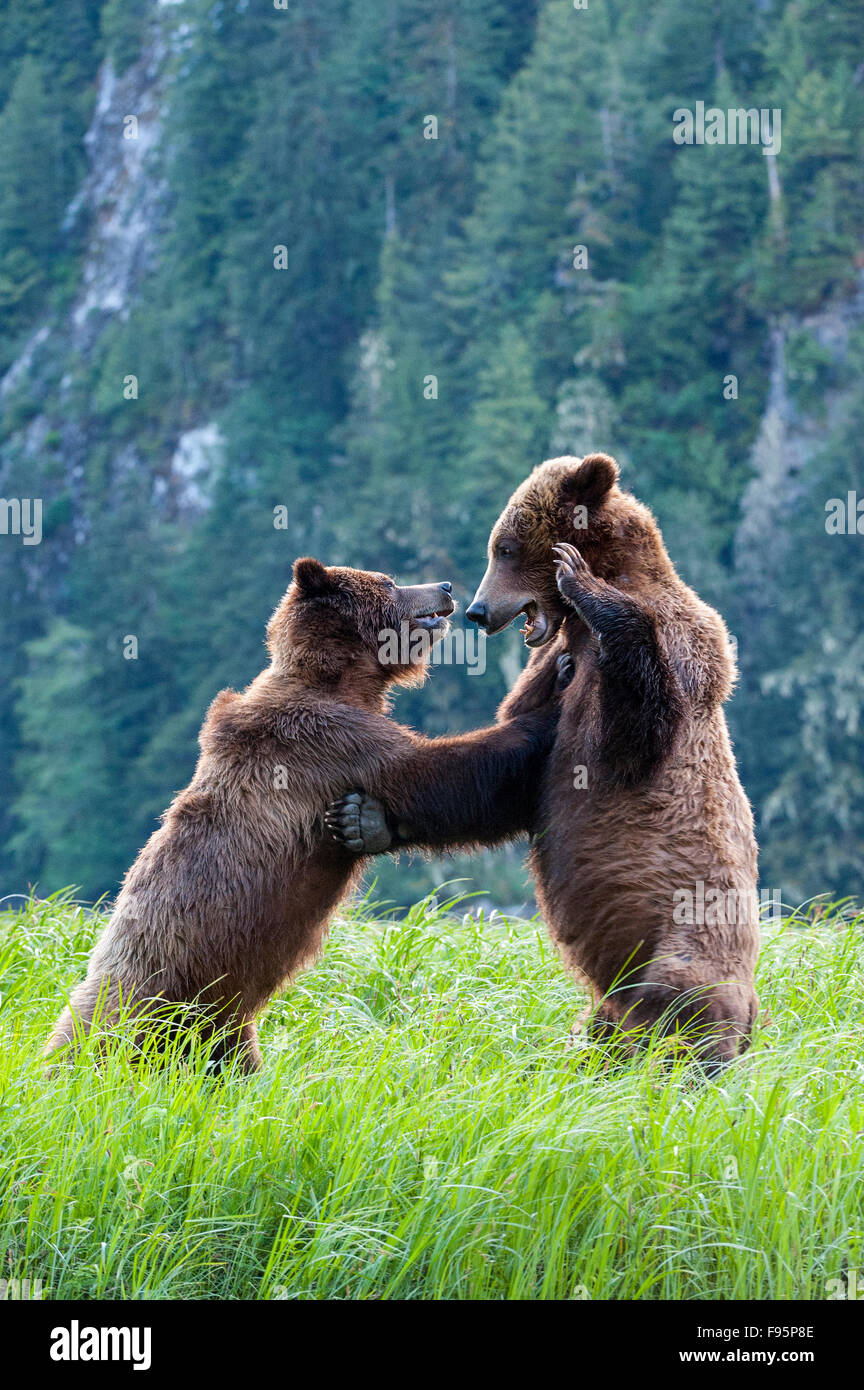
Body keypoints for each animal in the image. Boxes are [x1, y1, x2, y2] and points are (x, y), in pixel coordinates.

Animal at [45, 558, 569, 1067]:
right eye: (388, 581)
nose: (443, 586)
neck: (341, 680)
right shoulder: (327, 741)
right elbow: (440, 775)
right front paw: (556, 694)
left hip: (223, 1027)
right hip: (146, 997)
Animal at [334, 453, 761, 1061]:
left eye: (506, 547)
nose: (477, 610)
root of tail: (750, 1021)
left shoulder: (681, 659)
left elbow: (628, 736)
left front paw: (578, 577)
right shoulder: (551, 678)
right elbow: (507, 773)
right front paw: (365, 818)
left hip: (687, 959)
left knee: (682, 1020)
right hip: (612, 1012)